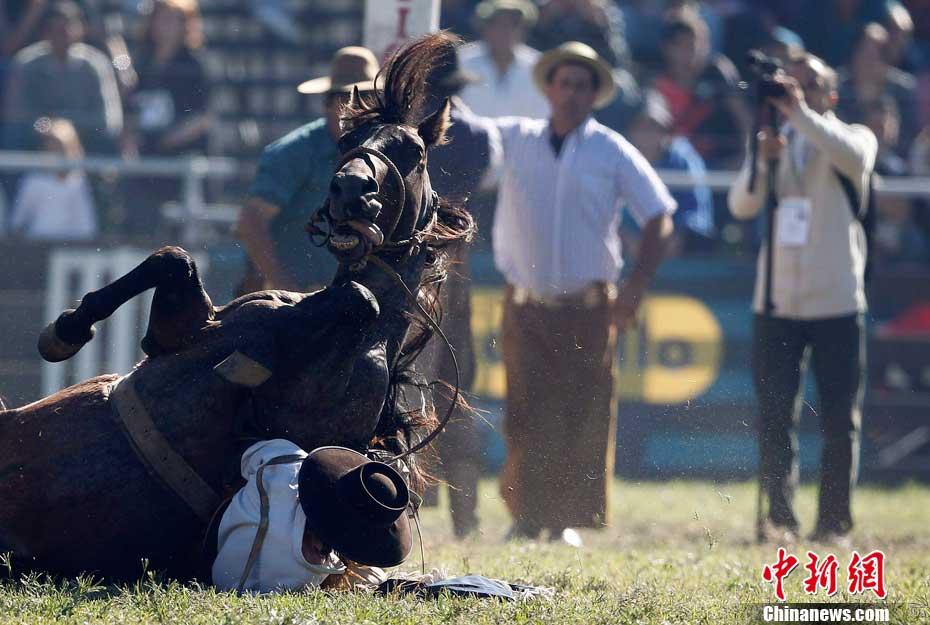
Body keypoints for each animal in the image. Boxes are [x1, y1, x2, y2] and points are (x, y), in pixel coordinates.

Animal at [0, 34, 472, 580]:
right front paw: (65, 331)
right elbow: (172, 259)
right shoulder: (183, 331)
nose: (352, 189)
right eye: (346, 142)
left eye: (414, 152)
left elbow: (361, 298)